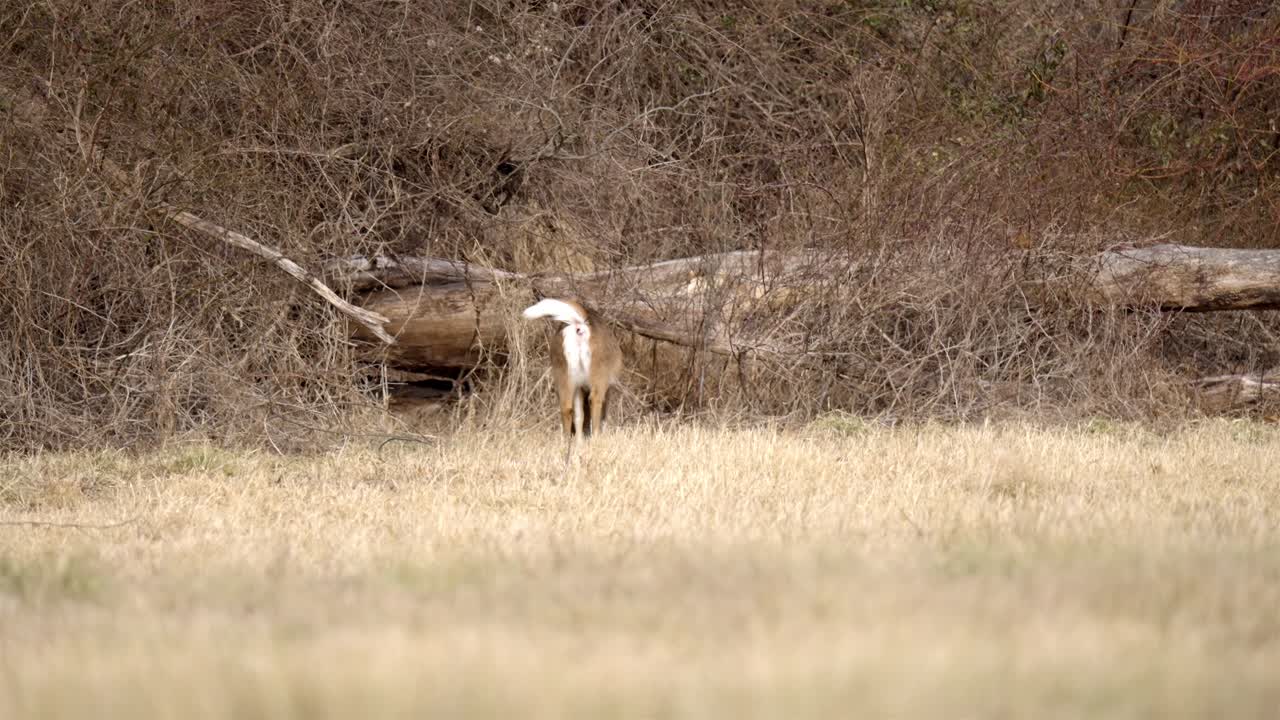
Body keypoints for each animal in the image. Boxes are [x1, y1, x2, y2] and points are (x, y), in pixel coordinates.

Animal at [522, 298, 623, 442]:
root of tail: (579, 326)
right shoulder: (607, 385)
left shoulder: (579, 386)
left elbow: (579, 415)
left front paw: (579, 442)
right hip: (599, 373)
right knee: (595, 400)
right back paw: (595, 438)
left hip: (563, 372)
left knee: (566, 407)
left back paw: (567, 442)